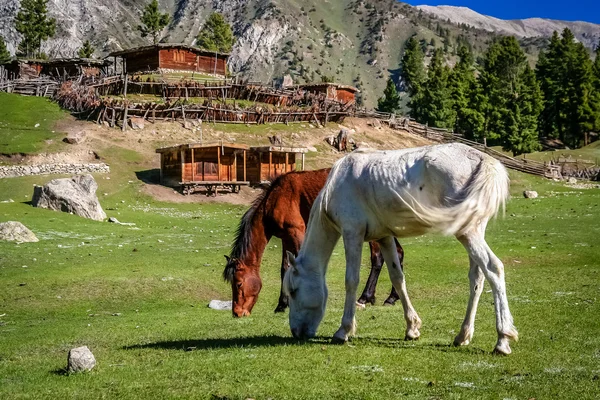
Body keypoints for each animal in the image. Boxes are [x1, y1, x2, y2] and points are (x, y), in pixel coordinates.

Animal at [223, 167, 400, 318]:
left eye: (238, 284)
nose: (237, 313)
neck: (274, 198)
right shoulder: (286, 237)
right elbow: (284, 268)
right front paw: (282, 304)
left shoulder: (297, 232)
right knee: (398, 254)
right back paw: (391, 297)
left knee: (377, 259)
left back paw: (365, 297)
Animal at [284, 142, 516, 354]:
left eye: (293, 291)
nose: (296, 332)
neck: (337, 184)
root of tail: (484, 160)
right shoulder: (385, 238)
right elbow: (398, 277)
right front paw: (412, 328)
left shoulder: (352, 234)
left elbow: (351, 281)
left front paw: (344, 331)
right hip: (473, 232)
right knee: (477, 277)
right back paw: (463, 335)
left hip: (468, 233)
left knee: (493, 268)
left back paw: (502, 340)